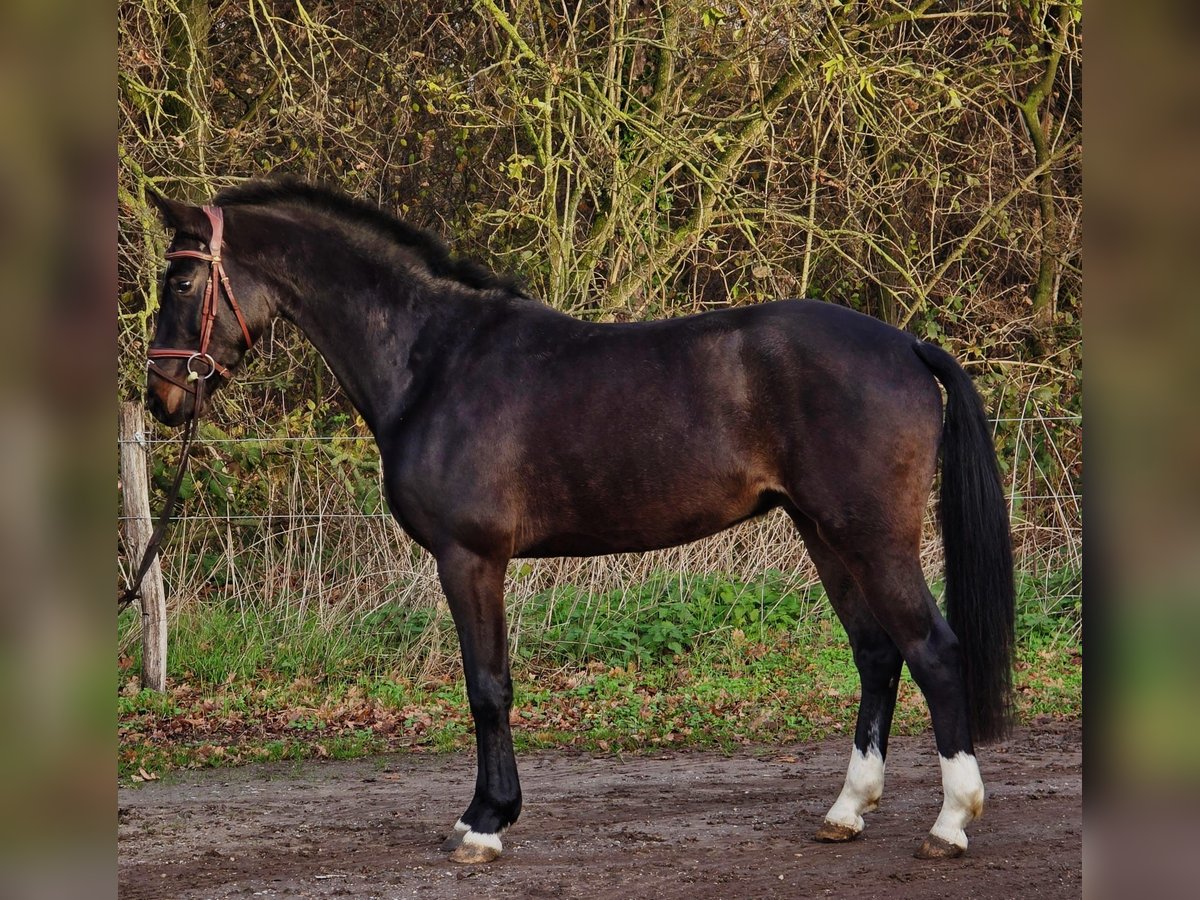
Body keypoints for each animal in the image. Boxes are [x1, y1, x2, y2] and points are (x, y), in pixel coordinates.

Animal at [141, 178, 1014, 864]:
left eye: (180, 284)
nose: (162, 397)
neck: (434, 360)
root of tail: (906, 344)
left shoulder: (469, 558)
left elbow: (487, 686)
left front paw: (485, 823)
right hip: (824, 533)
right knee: (877, 654)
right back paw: (846, 811)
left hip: (871, 536)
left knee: (933, 651)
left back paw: (950, 823)